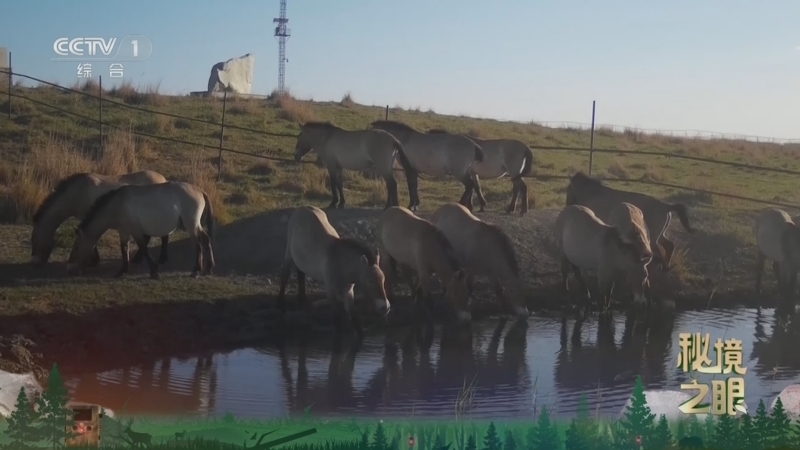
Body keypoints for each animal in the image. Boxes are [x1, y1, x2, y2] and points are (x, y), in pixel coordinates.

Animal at [31, 171, 172, 269]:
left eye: (33, 241)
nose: (35, 263)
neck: (76, 193)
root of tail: (163, 179)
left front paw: (93, 261)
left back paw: (161, 258)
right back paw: (139, 258)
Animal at [66, 181, 215, 279]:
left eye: (77, 248)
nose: (72, 269)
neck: (117, 205)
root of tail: (199, 190)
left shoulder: (135, 230)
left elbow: (143, 248)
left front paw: (154, 271)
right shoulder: (124, 231)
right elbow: (124, 249)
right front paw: (123, 270)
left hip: (191, 225)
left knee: (198, 245)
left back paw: (196, 270)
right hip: (195, 226)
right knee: (206, 240)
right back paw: (208, 268)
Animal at [276, 205, 390, 337]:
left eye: (383, 279)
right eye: (370, 281)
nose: (385, 307)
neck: (341, 264)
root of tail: (304, 207)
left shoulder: (348, 293)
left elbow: (356, 323)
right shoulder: (331, 293)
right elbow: (337, 324)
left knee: (300, 273)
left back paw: (302, 299)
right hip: (289, 253)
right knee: (285, 274)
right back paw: (280, 304)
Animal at [565, 171, 693, 272]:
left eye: (568, 189)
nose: (567, 205)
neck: (594, 194)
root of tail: (666, 206)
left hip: (652, 238)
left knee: (658, 250)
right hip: (660, 235)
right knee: (669, 246)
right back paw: (666, 268)